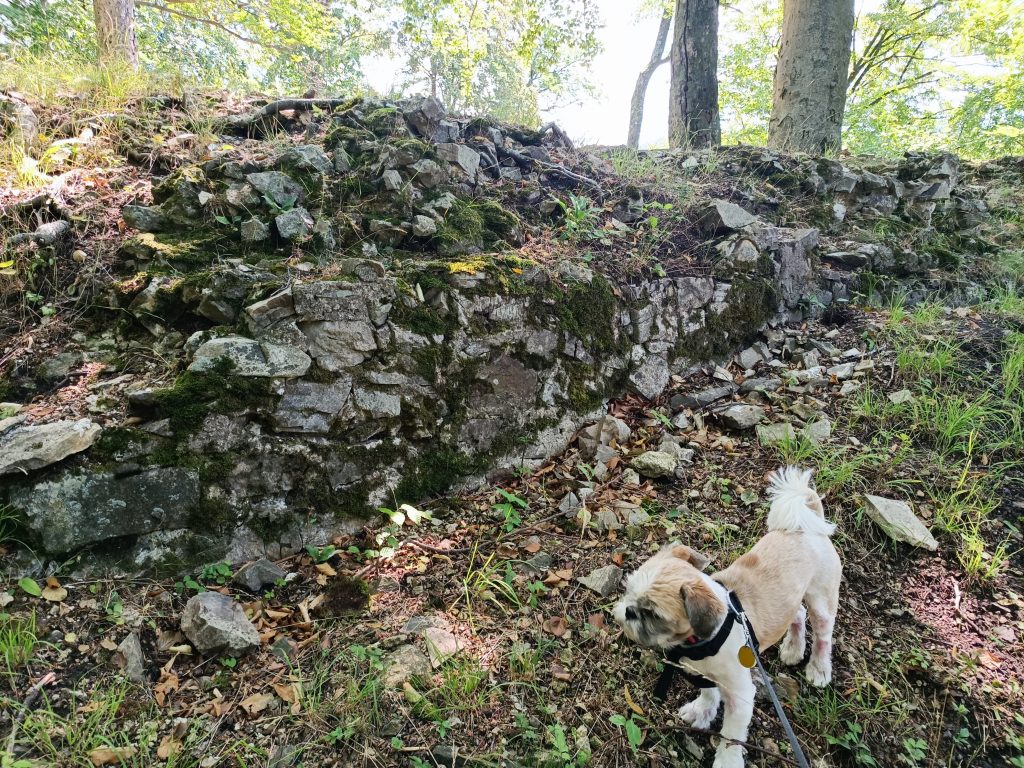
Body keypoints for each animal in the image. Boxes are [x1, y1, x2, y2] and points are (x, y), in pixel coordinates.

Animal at [614, 468, 839, 768]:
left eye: (653, 613)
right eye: (628, 590)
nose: (629, 611)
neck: (704, 640)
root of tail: (807, 524)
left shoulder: (740, 694)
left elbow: (732, 734)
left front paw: (727, 759)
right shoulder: (703, 675)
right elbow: (709, 694)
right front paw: (702, 711)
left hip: (821, 598)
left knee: (823, 633)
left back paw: (818, 668)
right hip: (792, 600)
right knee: (798, 614)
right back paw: (793, 647)